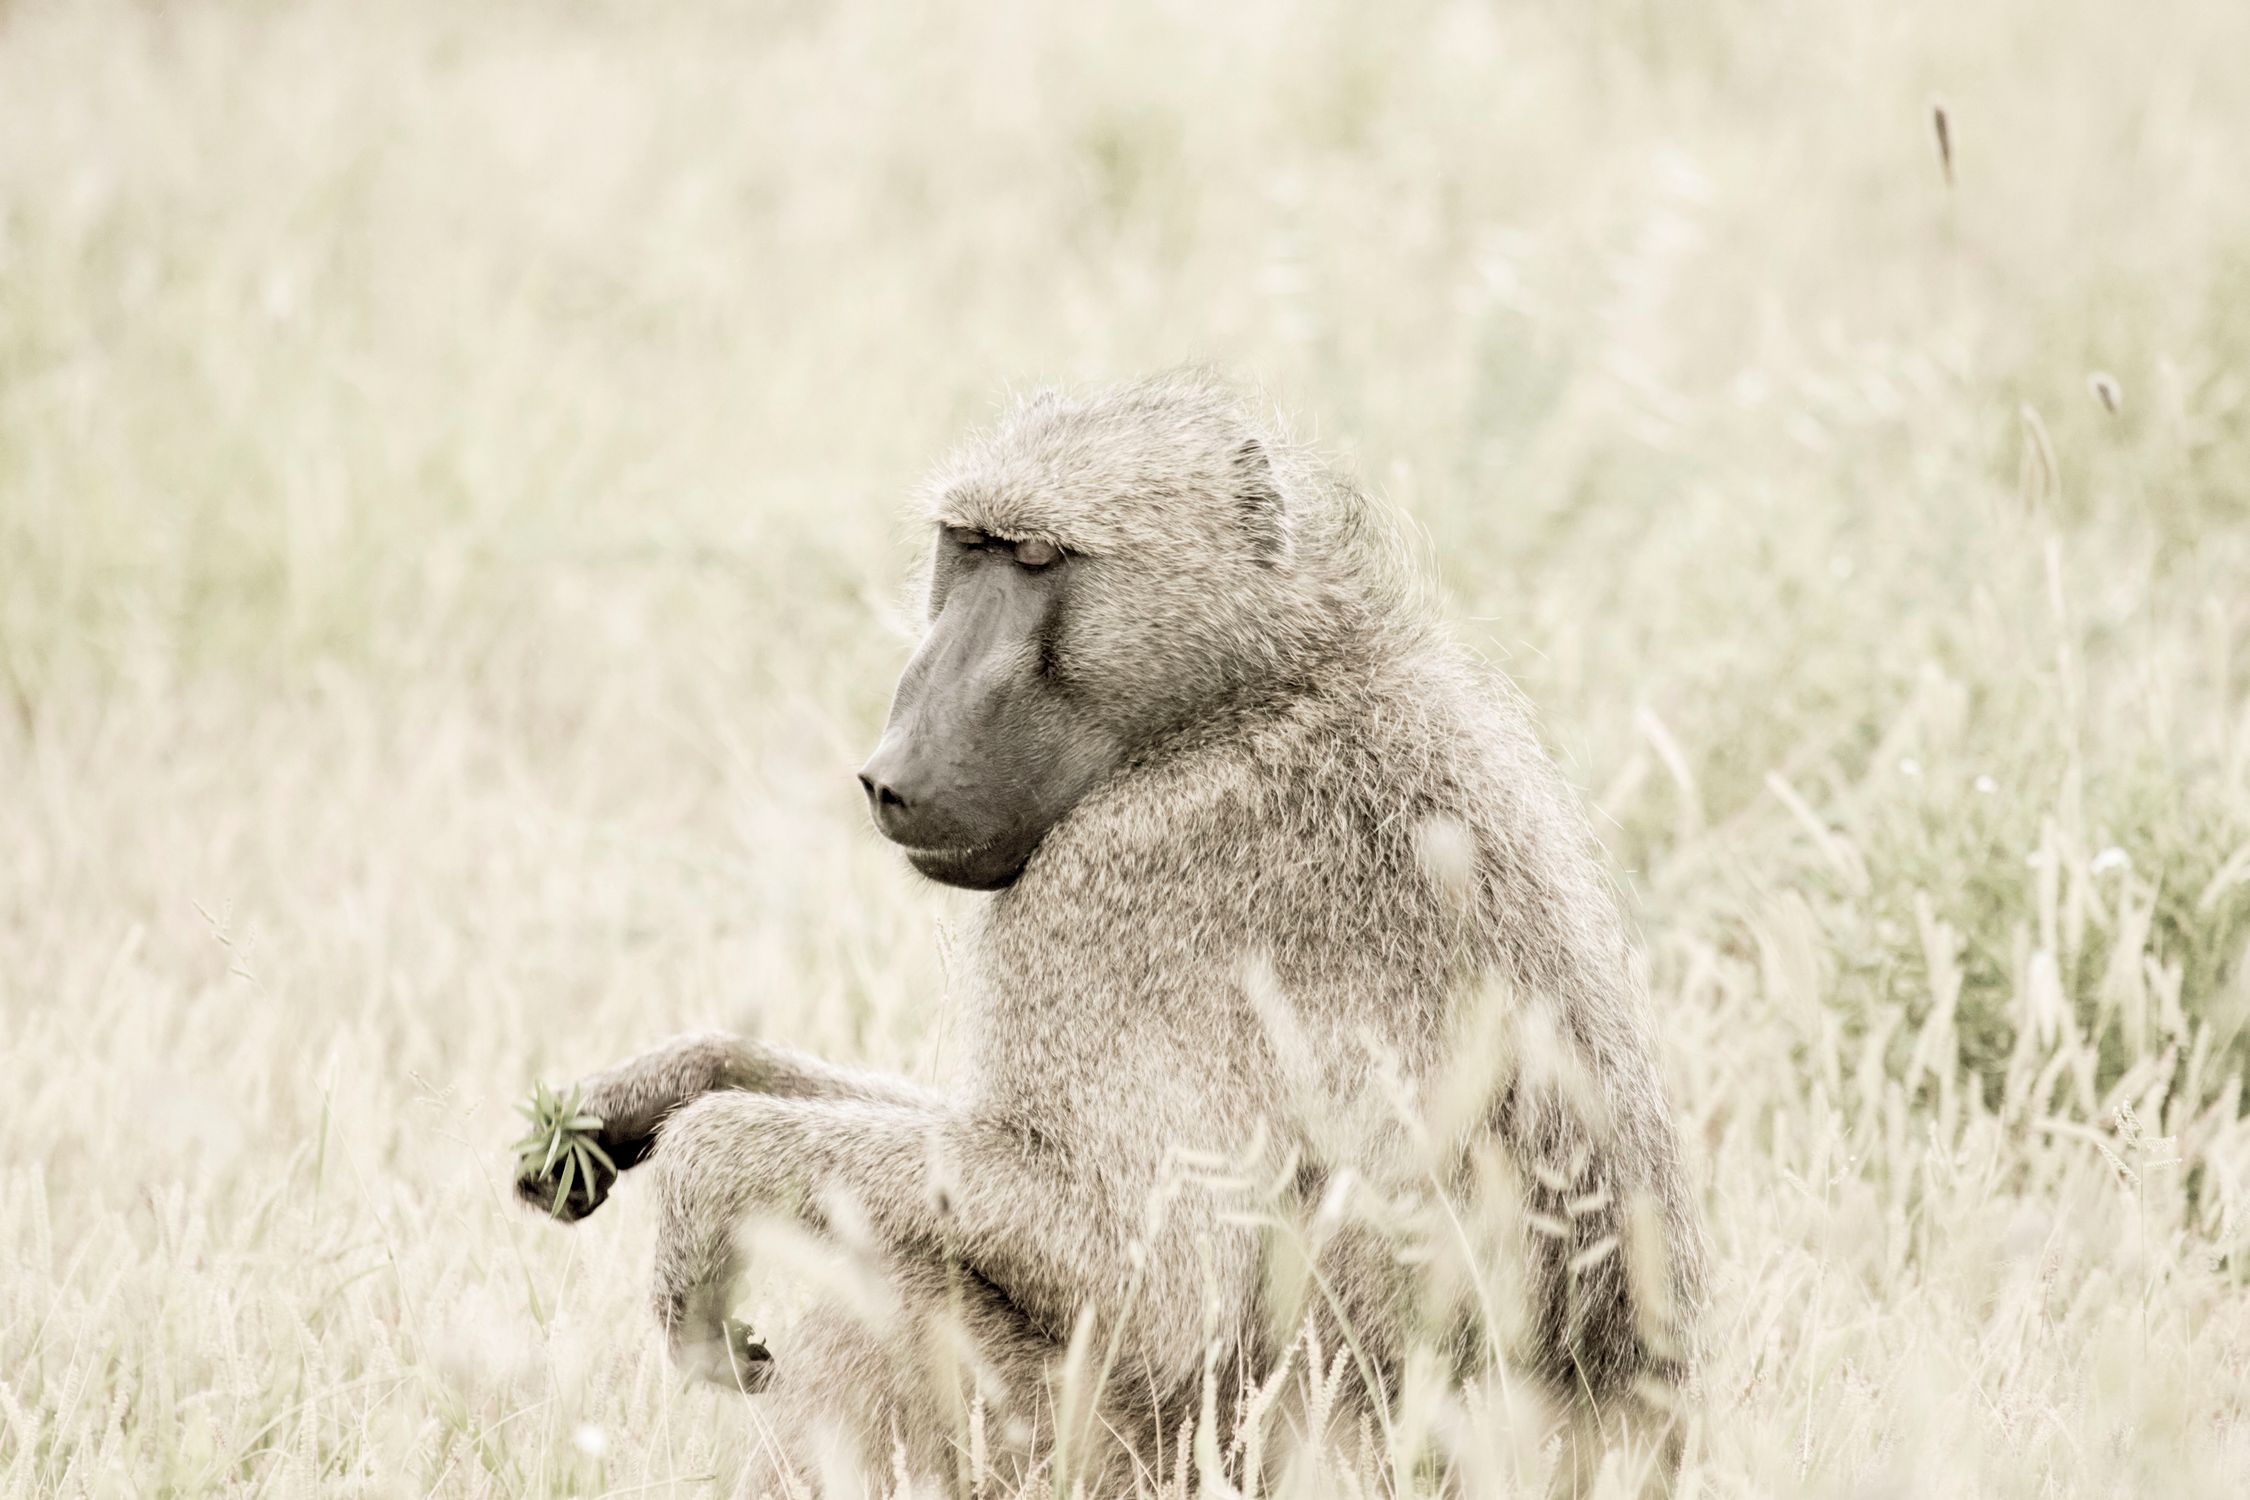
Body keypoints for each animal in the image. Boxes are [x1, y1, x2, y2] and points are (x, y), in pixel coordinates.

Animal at [517, 372, 1706, 1491]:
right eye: (967, 550)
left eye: (1038, 557)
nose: (891, 772)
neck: (1244, 694)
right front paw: (664, 1089)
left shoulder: (1114, 881)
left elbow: (1156, 1278)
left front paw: (708, 1163)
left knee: (905, 1292)